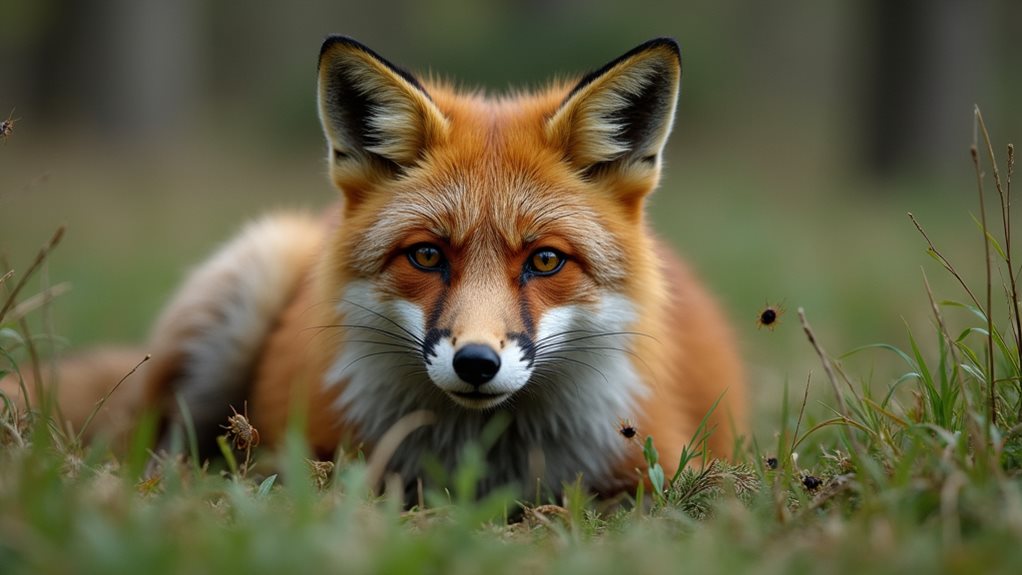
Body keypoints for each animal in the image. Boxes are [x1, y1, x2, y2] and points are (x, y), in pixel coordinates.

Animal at [2, 36, 745, 499]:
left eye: (544, 260)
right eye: (427, 254)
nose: (477, 362)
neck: (483, 461)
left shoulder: (661, 467)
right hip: (246, 282)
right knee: (149, 443)